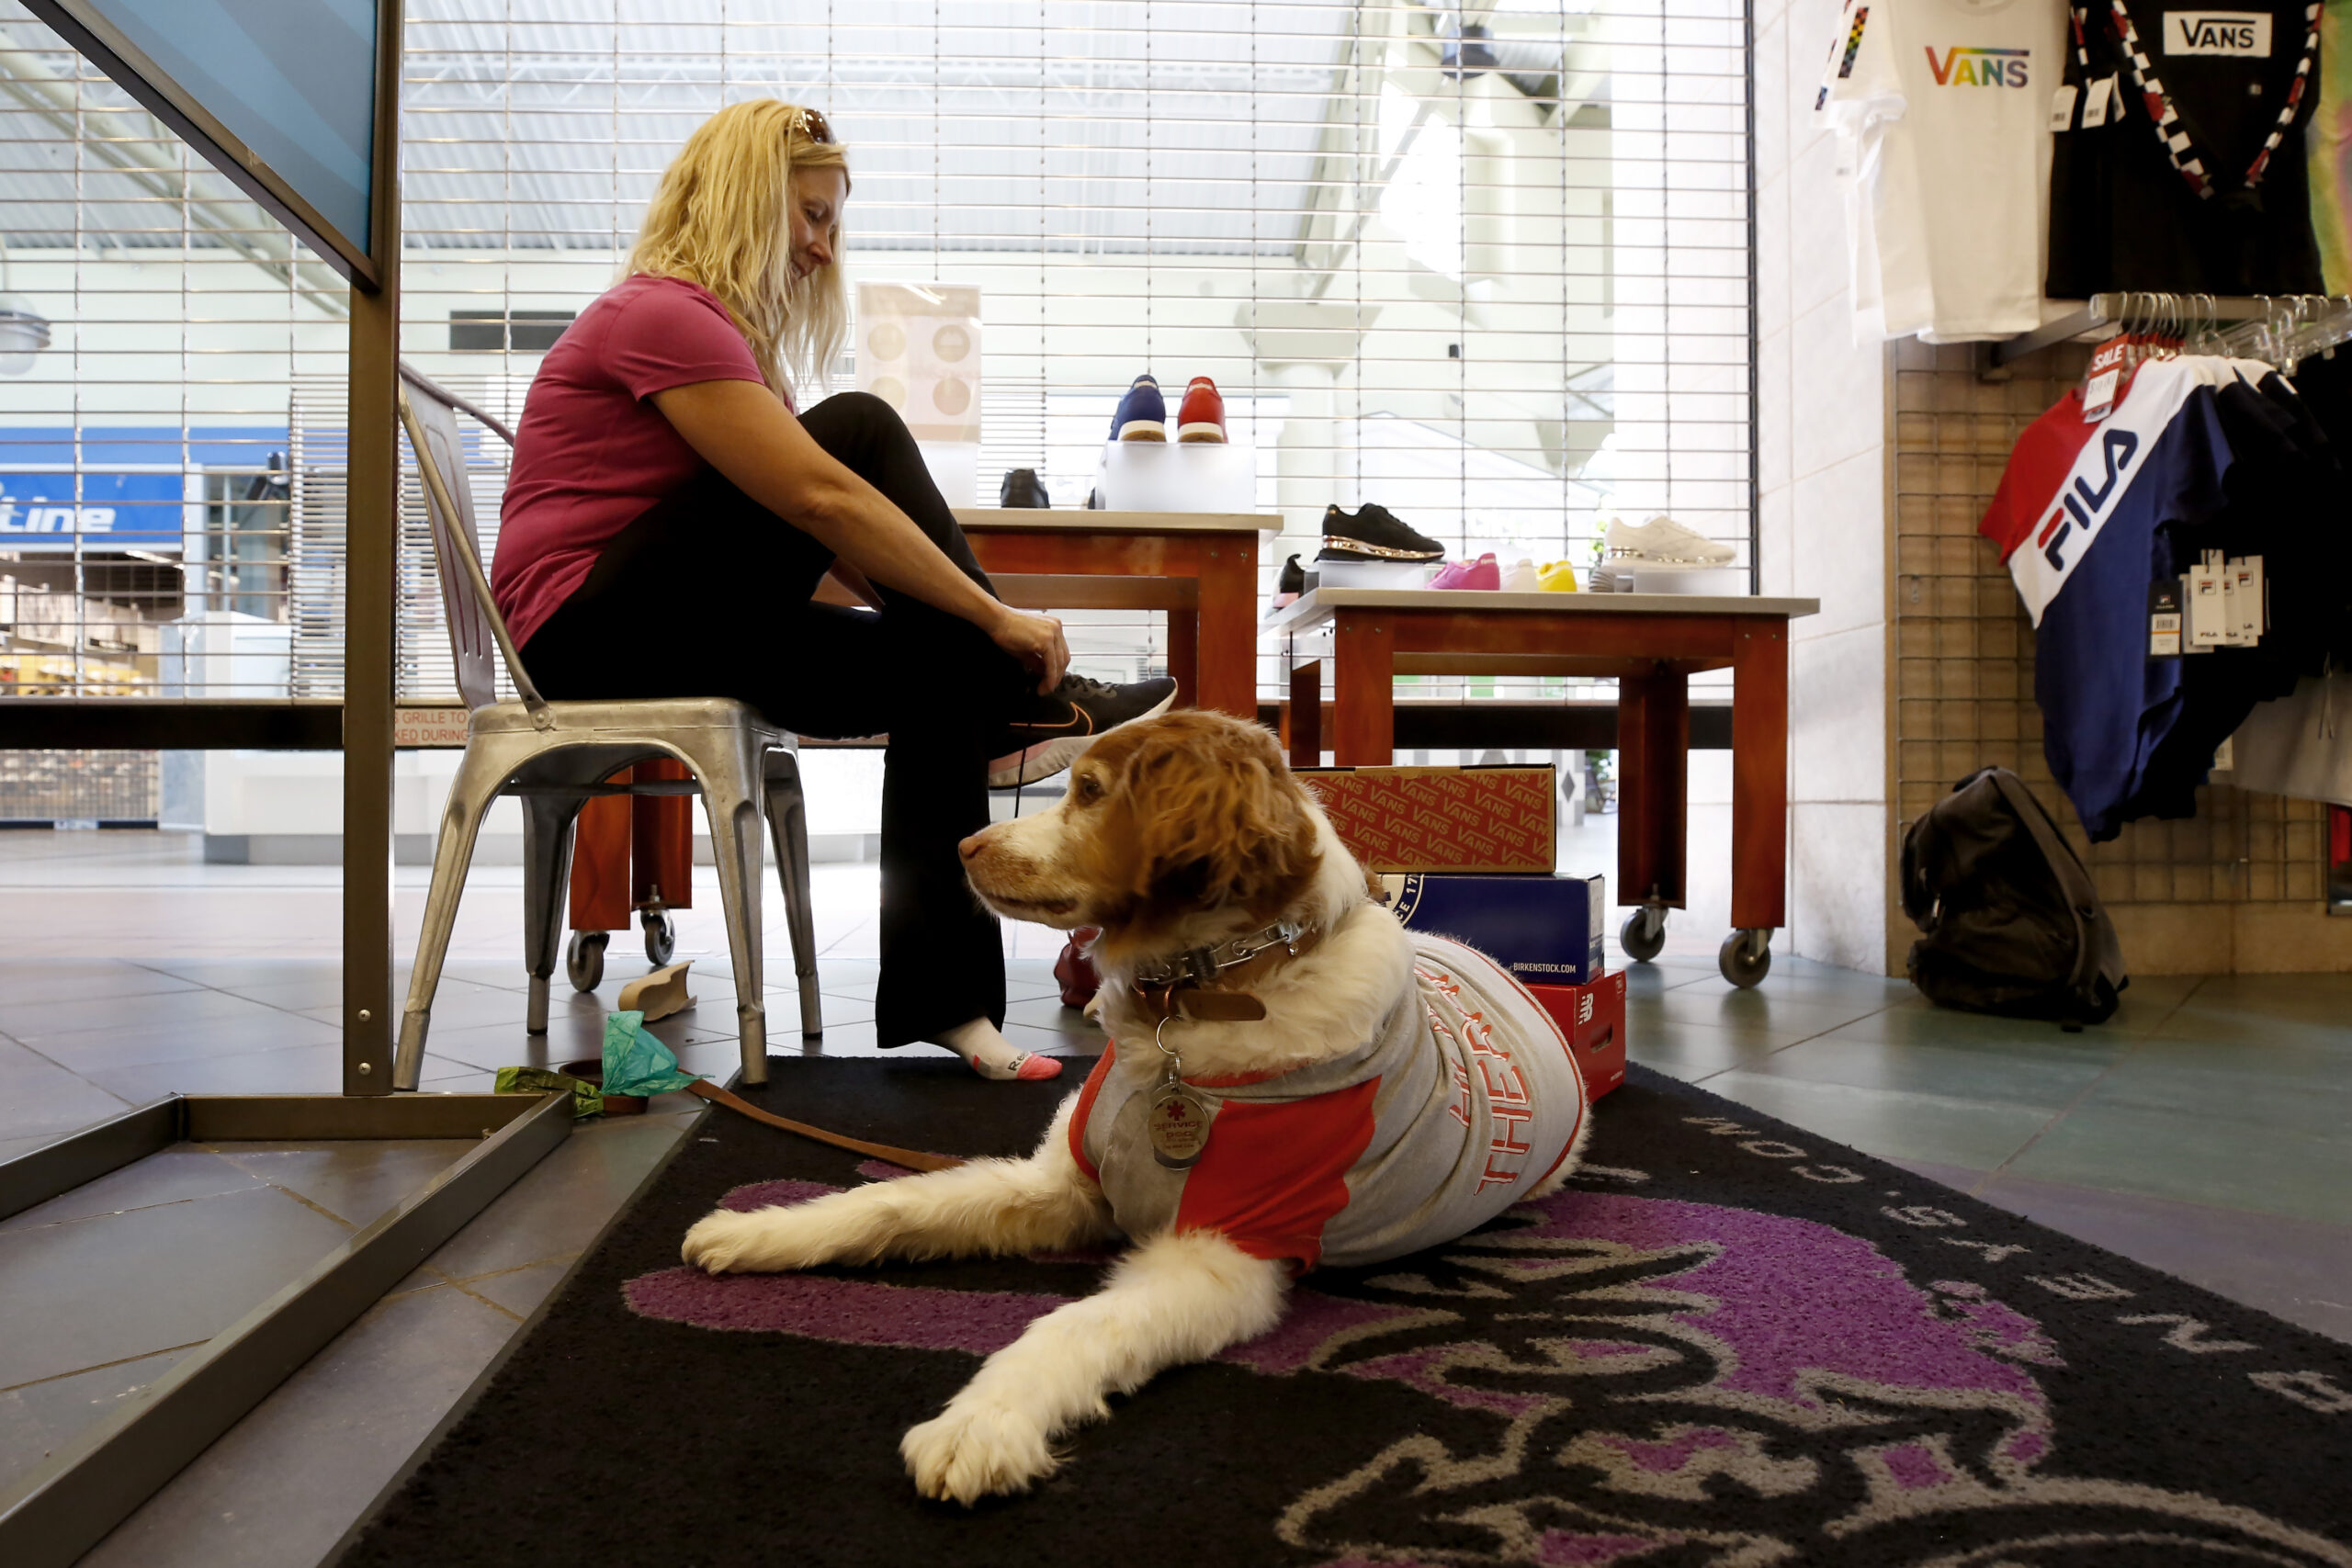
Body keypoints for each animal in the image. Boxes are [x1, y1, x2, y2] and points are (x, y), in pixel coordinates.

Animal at [686, 709, 1589, 1504]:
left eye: (1089, 789)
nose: (965, 845)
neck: (1197, 1004)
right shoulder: (1065, 1182)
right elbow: (898, 1201)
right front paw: (755, 1230)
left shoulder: (1221, 1253)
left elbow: (1072, 1326)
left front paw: (980, 1425)